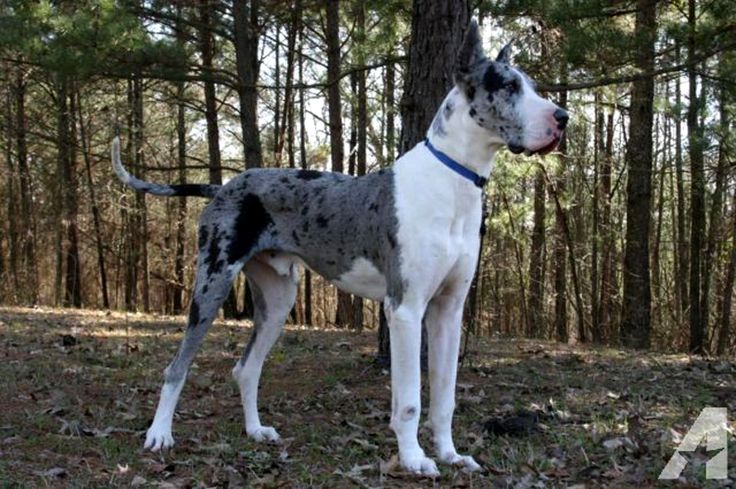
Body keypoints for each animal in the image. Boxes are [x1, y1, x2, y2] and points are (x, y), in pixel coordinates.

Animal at [112, 21, 568, 474]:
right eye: (508, 85)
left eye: (530, 84)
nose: (563, 117)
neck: (453, 178)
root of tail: (224, 185)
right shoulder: (405, 310)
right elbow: (409, 402)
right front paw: (413, 459)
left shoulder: (448, 311)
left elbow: (444, 398)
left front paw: (450, 453)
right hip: (212, 284)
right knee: (176, 367)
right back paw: (160, 434)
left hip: (278, 299)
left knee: (246, 368)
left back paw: (255, 430)